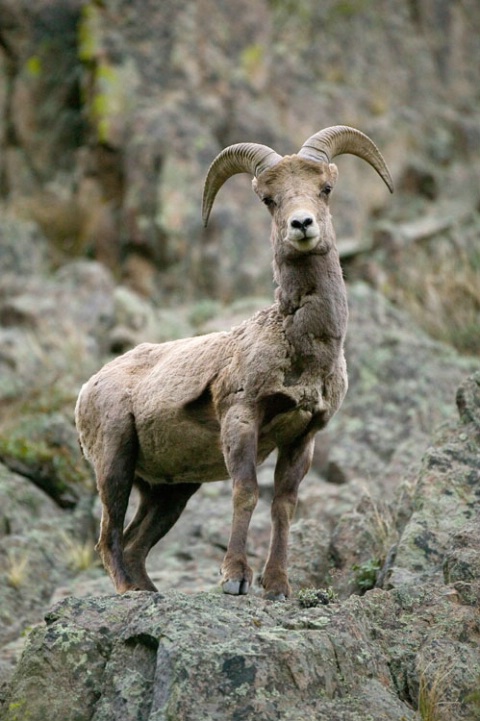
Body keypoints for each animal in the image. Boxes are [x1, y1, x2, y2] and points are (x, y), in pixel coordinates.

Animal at [74, 126, 390, 600]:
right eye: (269, 199)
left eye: (325, 189)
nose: (302, 225)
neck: (301, 346)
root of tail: (88, 388)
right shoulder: (241, 418)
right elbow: (246, 493)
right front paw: (235, 579)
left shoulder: (304, 437)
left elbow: (283, 505)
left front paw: (277, 586)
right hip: (115, 463)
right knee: (108, 538)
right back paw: (130, 592)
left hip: (170, 492)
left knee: (134, 545)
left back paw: (149, 592)